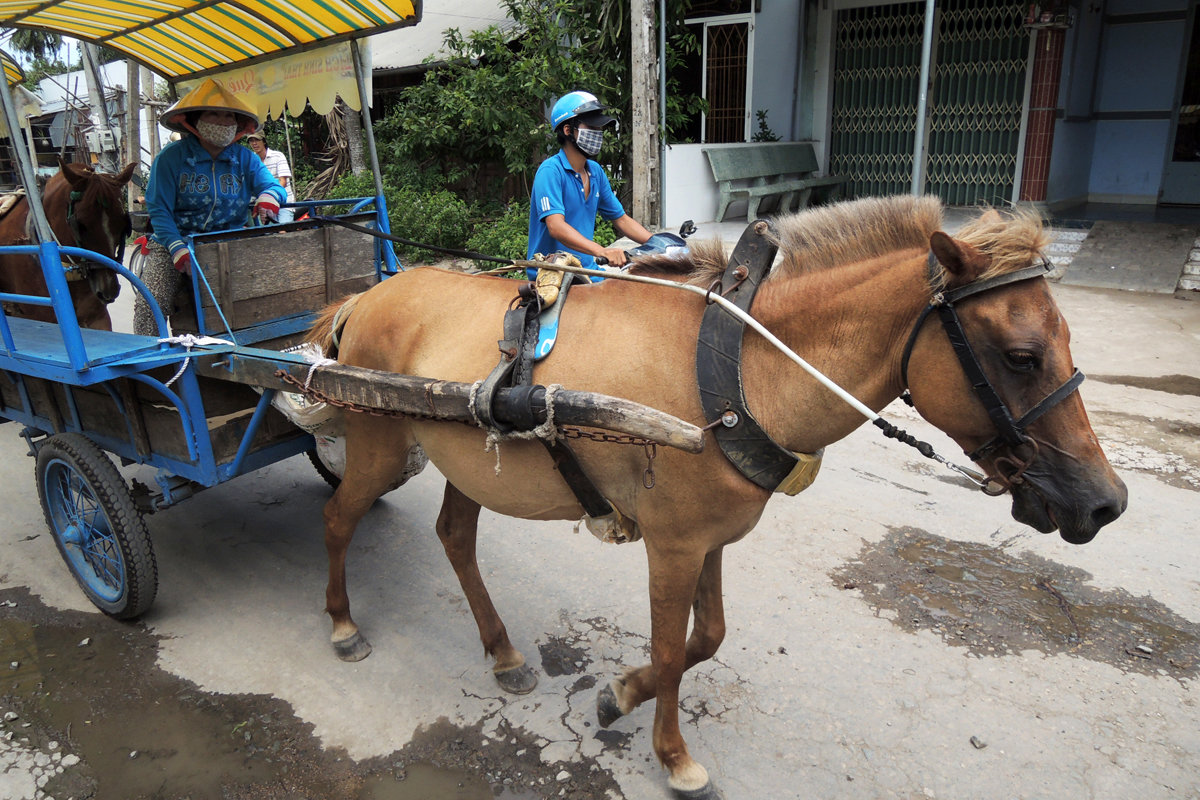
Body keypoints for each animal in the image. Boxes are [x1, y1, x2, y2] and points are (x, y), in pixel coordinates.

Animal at [307, 195, 1123, 800]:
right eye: (1021, 356)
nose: (1105, 503)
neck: (741, 365)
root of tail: (370, 294)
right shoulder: (673, 544)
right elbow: (673, 649)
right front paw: (673, 755)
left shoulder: (710, 538)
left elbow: (709, 637)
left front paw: (620, 695)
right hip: (378, 444)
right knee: (339, 517)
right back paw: (343, 624)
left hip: (466, 458)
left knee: (454, 537)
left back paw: (503, 652)